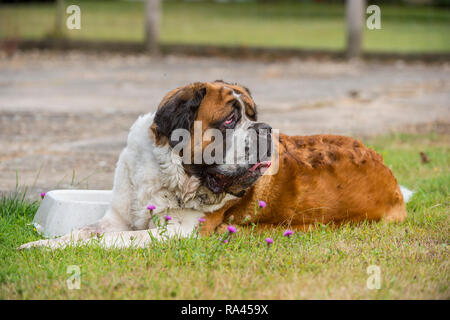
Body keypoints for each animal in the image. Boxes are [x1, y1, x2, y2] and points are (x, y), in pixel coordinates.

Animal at [20, 80, 408, 250]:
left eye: (253, 115)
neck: (171, 173)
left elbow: (104, 240)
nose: (265, 128)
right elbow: (85, 232)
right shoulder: (116, 216)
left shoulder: (180, 232)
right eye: (230, 120)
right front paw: (38, 245)